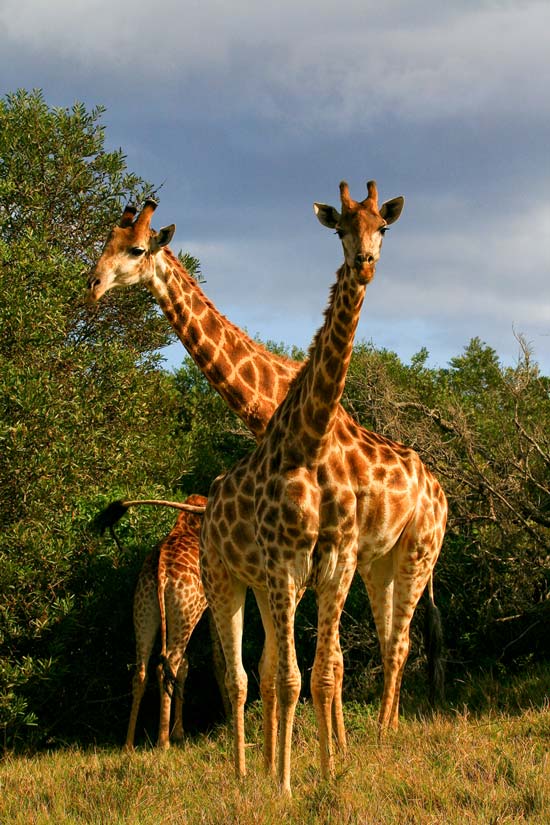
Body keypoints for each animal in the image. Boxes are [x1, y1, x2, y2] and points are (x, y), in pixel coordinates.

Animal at [95, 494, 228, 749]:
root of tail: (160, 571)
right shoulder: (213, 604)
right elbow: (217, 660)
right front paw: (228, 719)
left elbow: (187, 667)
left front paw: (180, 732)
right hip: (184, 613)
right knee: (169, 664)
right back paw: (163, 742)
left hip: (145, 611)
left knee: (143, 671)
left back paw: (129, 745)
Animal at [200, 180, 410, 793]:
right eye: (340, 228)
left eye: (383, 228)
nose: (365, 262)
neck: (310, 442)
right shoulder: (287, 566)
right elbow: (292, 678)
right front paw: (286, 786)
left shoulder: (335, 565)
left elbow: (321, 674)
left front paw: (329, 773)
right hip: (221, 579)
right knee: (240, 676)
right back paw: (245, 774)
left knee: (271, 670)